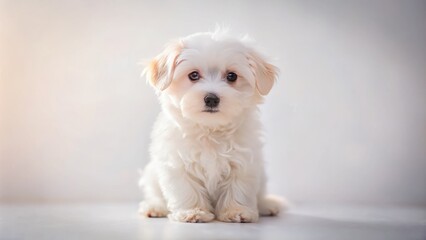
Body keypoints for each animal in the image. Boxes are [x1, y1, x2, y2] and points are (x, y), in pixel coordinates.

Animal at [139, 30, 282, 223]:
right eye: (193, 75)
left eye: (232, 76)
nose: (212, 99)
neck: (210, 130)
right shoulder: (176, 164)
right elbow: (186, 190)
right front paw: (193, 212)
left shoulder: (244, 163)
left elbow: (239, 188)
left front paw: (237, 211)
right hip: (151, 174)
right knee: (154, 194)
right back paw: (154, 207)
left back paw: (268, 204)